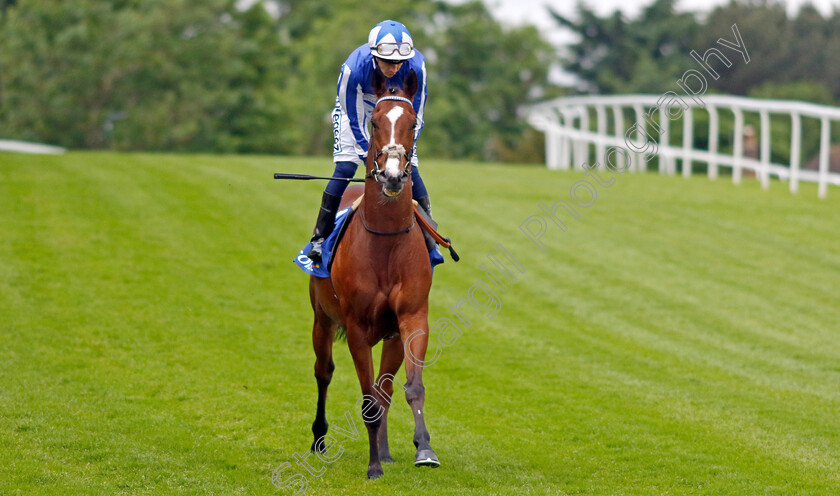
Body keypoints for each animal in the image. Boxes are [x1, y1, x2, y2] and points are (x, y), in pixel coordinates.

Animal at [308, 68, 440, 478]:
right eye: (375, 122)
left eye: (413, 123)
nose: (394, 175)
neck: (384, 244)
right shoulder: (356, 328)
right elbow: (366, 400)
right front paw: (373, 468)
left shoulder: (412, 317)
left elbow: (409, 388)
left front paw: (423, 449)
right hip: (322, 319)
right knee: (323, 372)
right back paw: (319, 439)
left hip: (390, 335)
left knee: (385, 390)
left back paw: (383, 449)